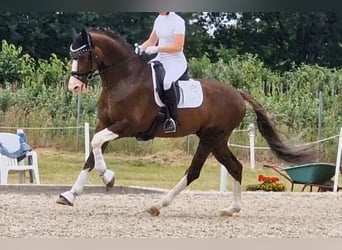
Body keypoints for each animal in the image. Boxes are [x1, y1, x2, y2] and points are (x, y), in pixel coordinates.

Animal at [56, 28, 316, 217]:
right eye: (71, 55)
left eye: (81, 55)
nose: (74, 87)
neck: (123, 79)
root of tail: (237, 94)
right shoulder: (105, 123)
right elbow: (92, 153)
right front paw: (70, 195)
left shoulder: (127, 126)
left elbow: (96, 144)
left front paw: (108, 177)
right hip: (217, 140)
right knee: (235, 167)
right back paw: (231, 209)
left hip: (211, 137)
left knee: (194, 171)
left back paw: (159, 205)